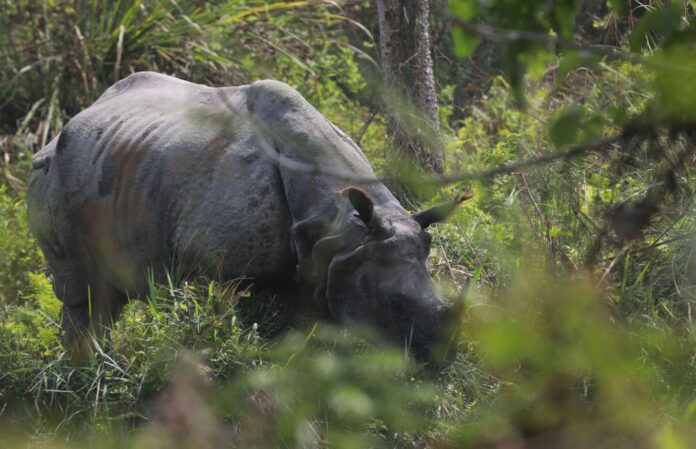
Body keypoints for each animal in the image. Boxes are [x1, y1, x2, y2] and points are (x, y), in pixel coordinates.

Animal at [27, 72, 468, 362]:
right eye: (393, 303)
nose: (442, 360)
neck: (344, 224)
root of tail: (63, 127)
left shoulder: (322, 265)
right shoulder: (219, 269)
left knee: (108, 296)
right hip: (50, 172)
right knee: (81, 295)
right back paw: (85, 375)